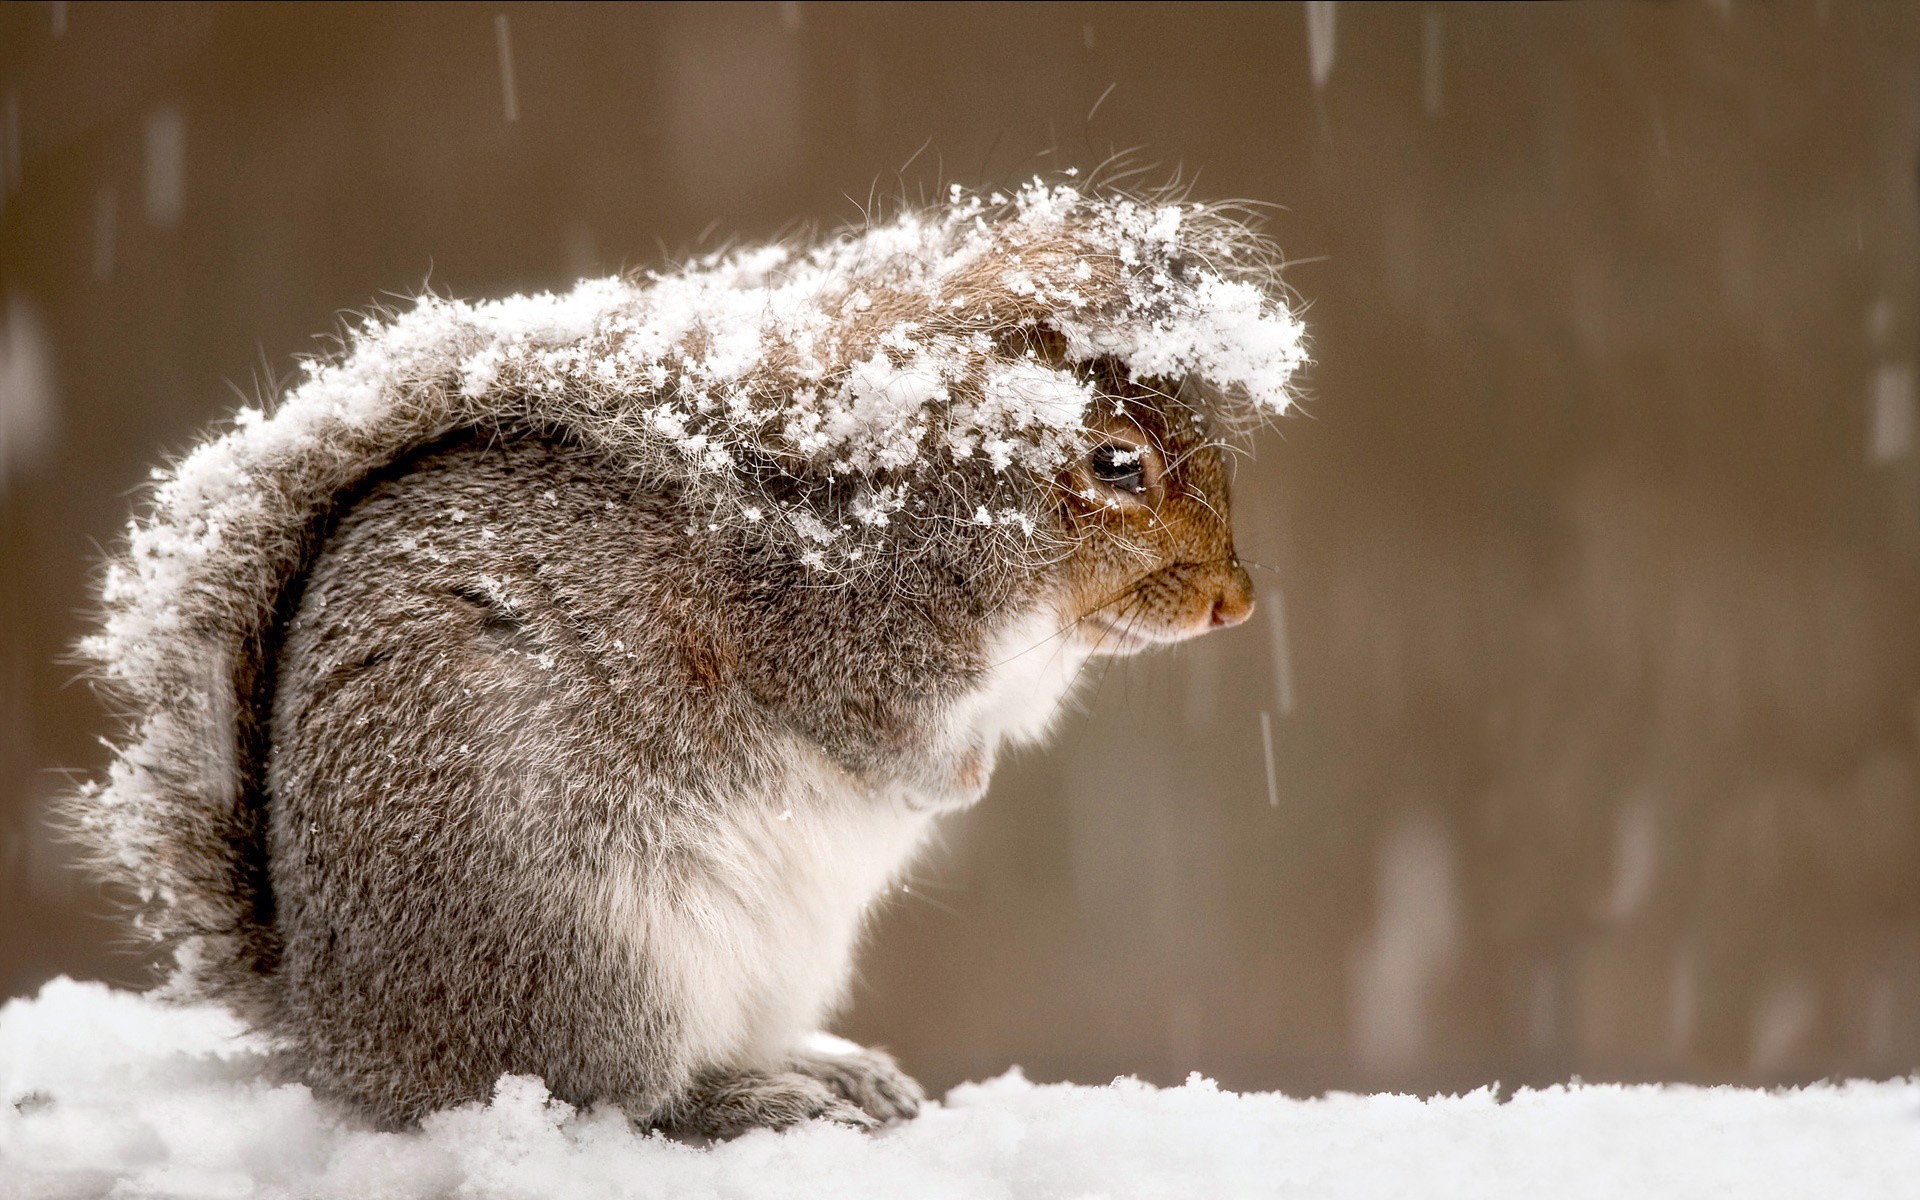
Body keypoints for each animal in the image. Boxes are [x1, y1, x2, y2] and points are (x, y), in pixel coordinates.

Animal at [68, 181, 1307, 1134]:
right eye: (1116, 463)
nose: (1236, 604)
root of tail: (343, 1040)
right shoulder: (829, 638)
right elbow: (875, 734)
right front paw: (949, 784)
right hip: (596, 953)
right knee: (618, 1096)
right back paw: (748, 1101)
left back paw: (822, 1068)